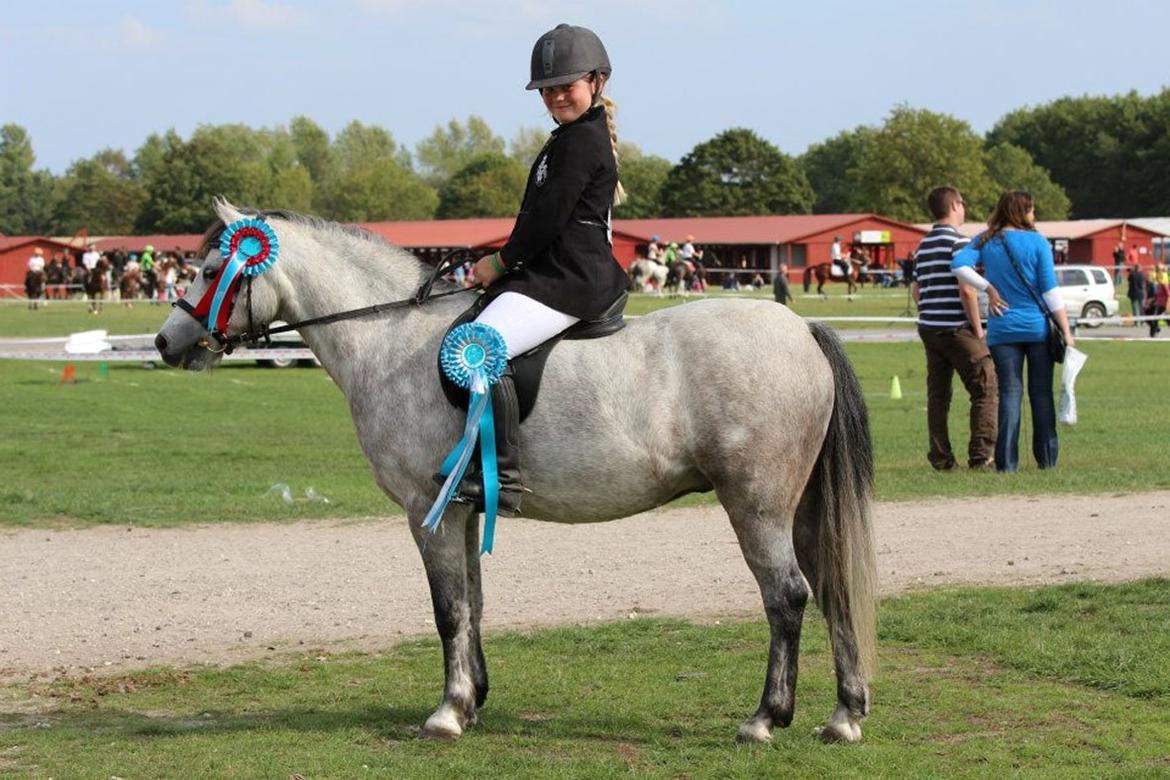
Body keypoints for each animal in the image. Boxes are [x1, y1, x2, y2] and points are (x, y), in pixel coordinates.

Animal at [155, 199, 879, 743]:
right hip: (797, 504)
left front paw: (446, 713)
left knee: (786, 596)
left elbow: (448, 610)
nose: (167, 343)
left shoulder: (427, 511)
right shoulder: (463, 507)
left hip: (755, 503)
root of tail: (803, 329)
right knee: (831, 585)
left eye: (214, 267)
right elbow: (473, 604)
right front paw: (472, 699)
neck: (390, 339)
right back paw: (843, 716)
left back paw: (764, 720)